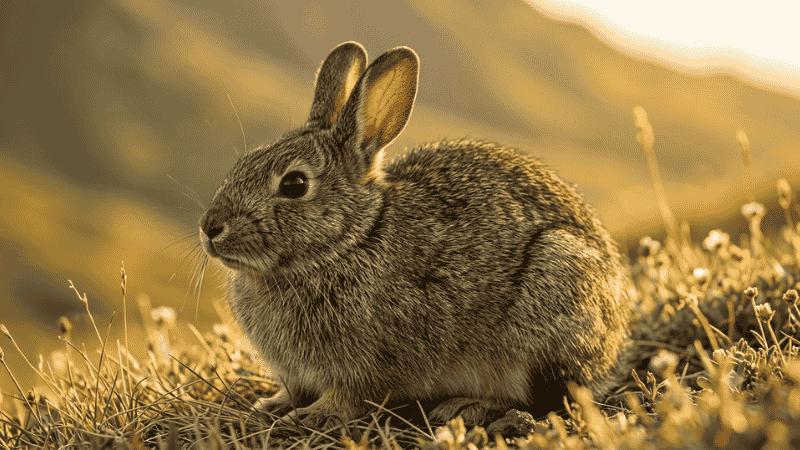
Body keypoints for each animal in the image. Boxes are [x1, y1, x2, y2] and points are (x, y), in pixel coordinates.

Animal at [199, 41, 632, 429]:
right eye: (243, 163)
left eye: (294, 184)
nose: (210, 227)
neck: (350, 242)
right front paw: (272, 405)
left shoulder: (369, 363)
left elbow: (350, 397)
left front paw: (314, 414)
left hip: (548, 305)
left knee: (544, 396)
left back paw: (467, 406)